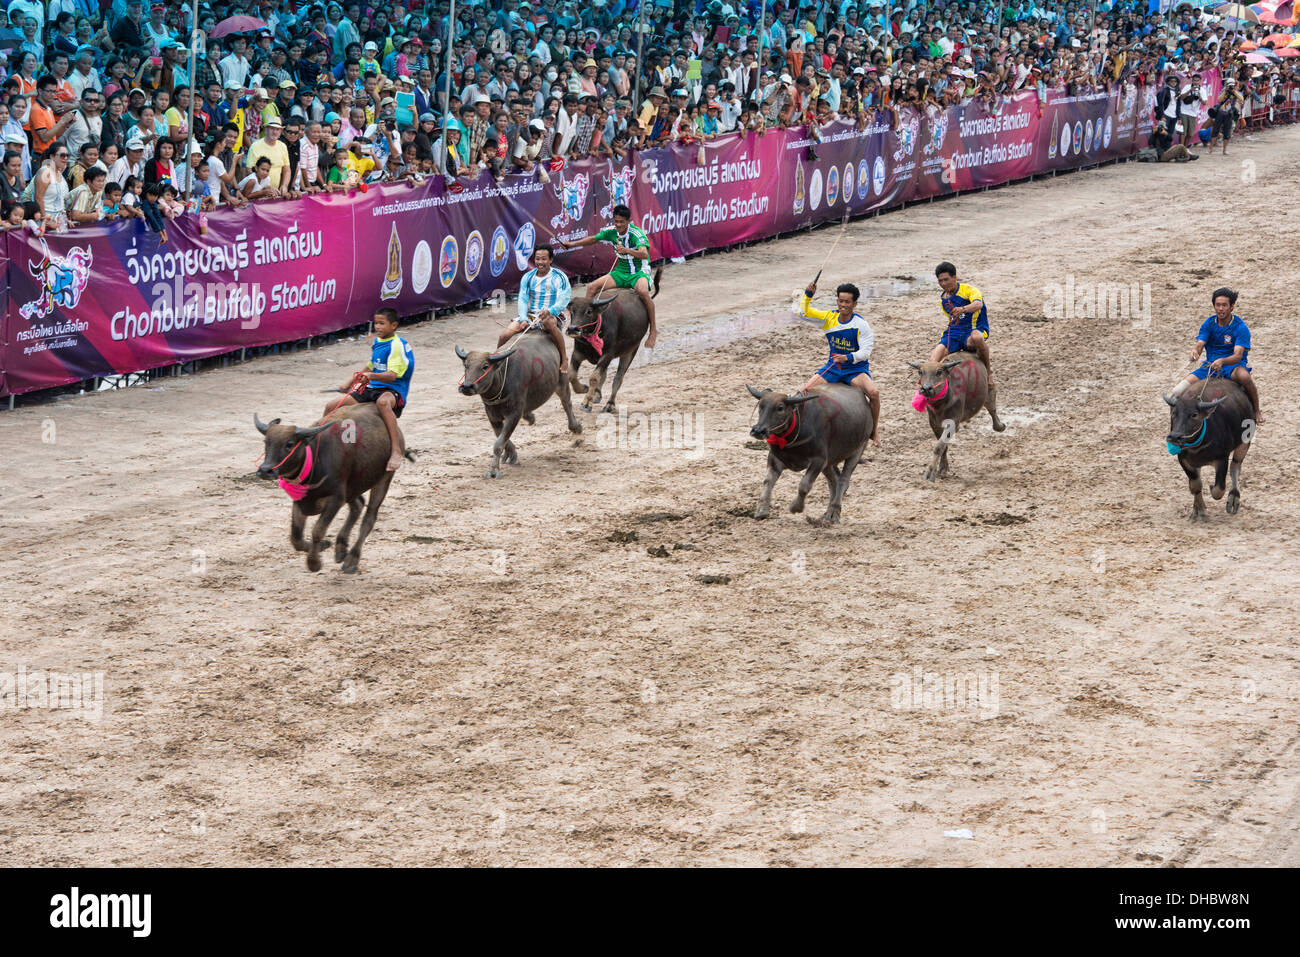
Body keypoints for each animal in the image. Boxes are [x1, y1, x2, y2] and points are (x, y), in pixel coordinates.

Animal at [253, 405, 410, 574]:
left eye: (289, 444)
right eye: (266, 442)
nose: (265, 470)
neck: (314, 463)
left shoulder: (336, 499)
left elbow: (317, 530)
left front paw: (314, 563)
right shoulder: (302, 501)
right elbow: (295, 536)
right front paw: (324, 545)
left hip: (384, 479)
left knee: (369, 518)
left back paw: (352, 559)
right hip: (351, 488)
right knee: (358, 505)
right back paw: (341, 548)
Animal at [454, 328, 582, 478]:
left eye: (485, 366)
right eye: (466, 366)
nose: (467, 386)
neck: (501, 380)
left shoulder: (514, 414)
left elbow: (498, 443)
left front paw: (493, 471)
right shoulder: (492, 415)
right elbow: (501, 438)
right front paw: (510, 454)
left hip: (562, 381)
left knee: (566, 402)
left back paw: (575, 426)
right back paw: (530, 416)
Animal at [566, 265, 660, 410]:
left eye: (589, 311)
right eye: (572, 311)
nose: (572, 329)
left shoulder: (607, 354)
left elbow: (594, 377)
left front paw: (586, 402)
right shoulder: (577, 353)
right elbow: (572, 375)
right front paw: (584, 389)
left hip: (630, 351)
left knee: (618, 377)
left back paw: (610, 404)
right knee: (605, 375)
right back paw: (597, 395)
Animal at [748, 382, 868, 527]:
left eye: (780, 408)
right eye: (760, 405)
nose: (758, 430)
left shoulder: (818, 460)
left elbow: (804, 485)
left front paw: (795, 507)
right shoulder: (775, 457)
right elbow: (768, 481)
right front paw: (762, 510)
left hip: (858, 449)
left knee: (843, 481)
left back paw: (834, 512)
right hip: (829, 462)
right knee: (834, 481)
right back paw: (828, 513)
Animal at [1164, 374, 1253, 522]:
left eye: (1194, 414)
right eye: (1174, 413)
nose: (1175, 437)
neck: (1197, 447)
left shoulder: (1222, 459)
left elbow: (1218, 490)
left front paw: (1211, 490)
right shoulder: (1183, 460)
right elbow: (1196, 485)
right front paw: (1199, 510)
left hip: (1245, 442)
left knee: (1235, 467)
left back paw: (1233, 499)